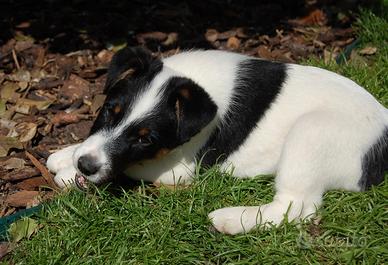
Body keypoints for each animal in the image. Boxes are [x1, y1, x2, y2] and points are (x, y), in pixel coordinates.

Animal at [47, 47, 388, 233]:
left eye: (146, 140)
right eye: (109, 110)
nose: (86, 165)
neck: (192, 82)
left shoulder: (179, 169)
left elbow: (128, 167)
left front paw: (70, 174)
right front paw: (66, 156)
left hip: (310, 133)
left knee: (297, 208)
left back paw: (232, 219)